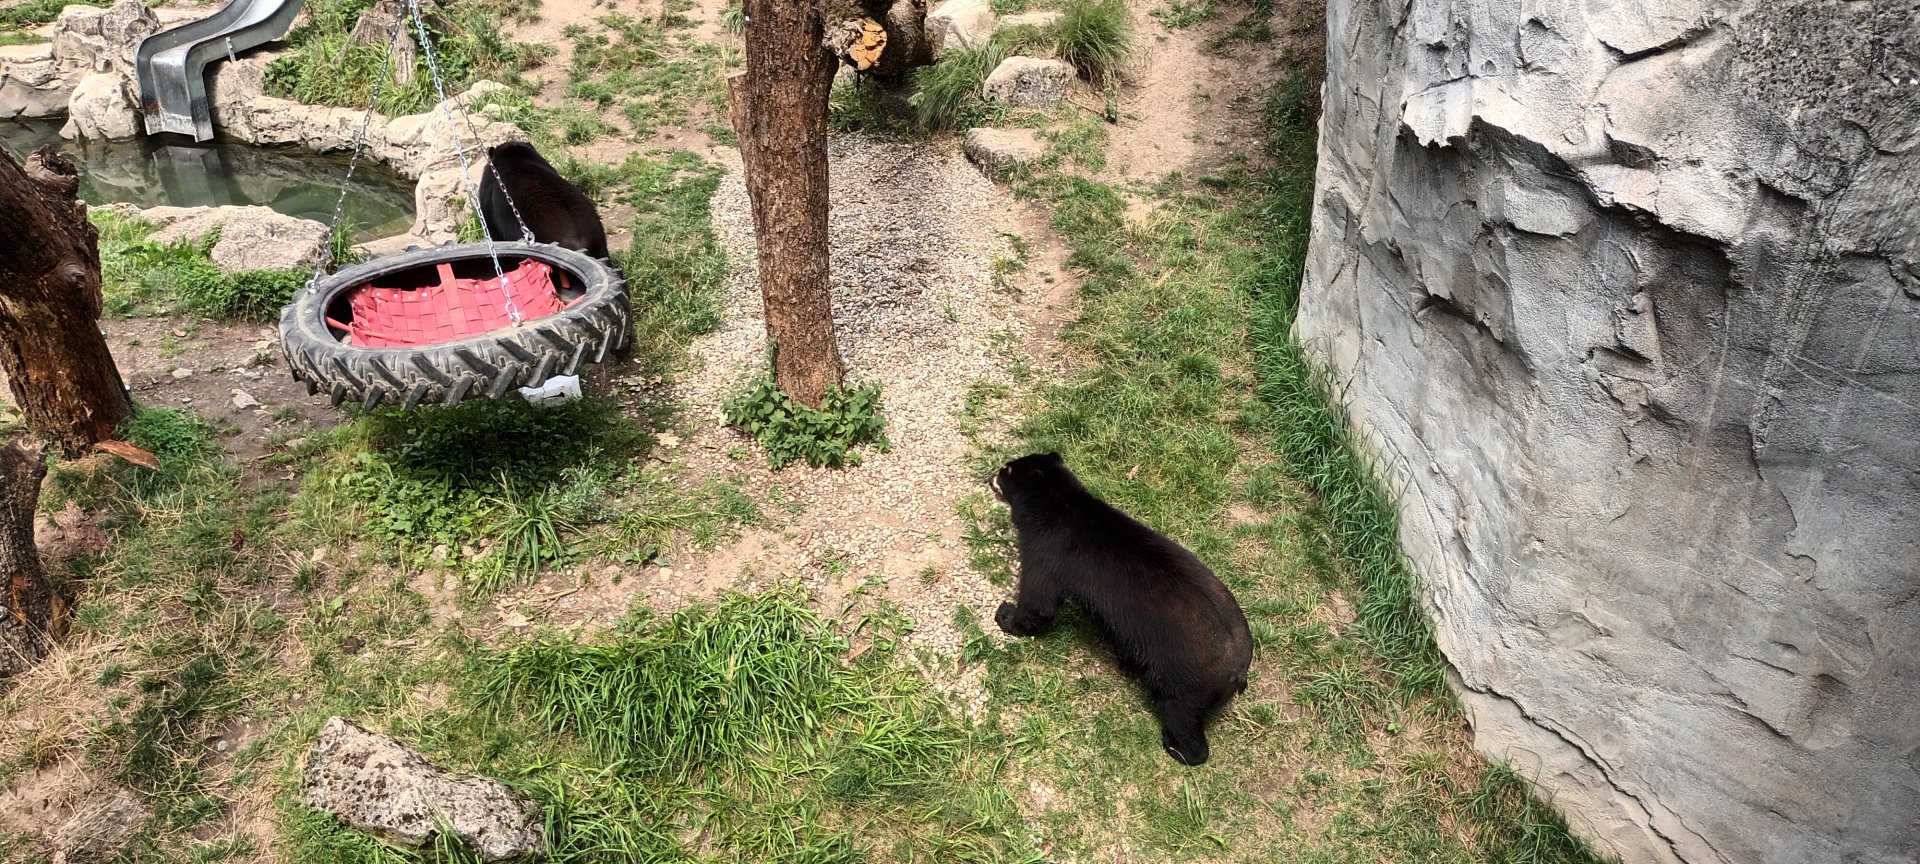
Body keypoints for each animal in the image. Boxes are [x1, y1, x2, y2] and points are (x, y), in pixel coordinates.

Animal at [991, 452, 1253, 765]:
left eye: (1007, 470)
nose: (990, 476)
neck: (1061, 503)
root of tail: (1239, 670)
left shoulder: (1047, 551)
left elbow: (1038, 602)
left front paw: (1005, 615)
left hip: (1184, 681)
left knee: (1182, 718)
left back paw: (1175, 747)